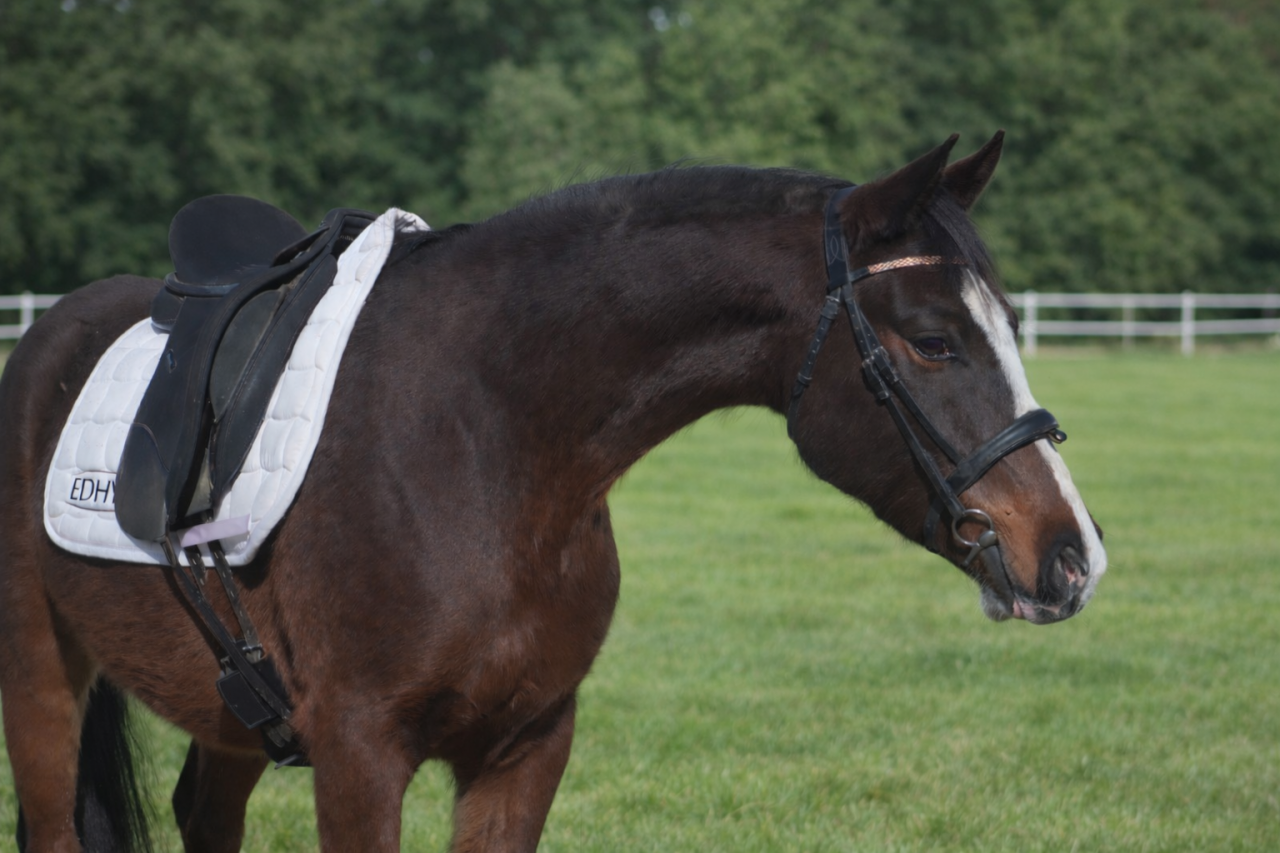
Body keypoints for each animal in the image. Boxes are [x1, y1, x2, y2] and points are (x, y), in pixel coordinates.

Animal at [0, 132, 1106, 852]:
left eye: (1011, 323)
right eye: (932, 340)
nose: (1071, 554)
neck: (488, 439)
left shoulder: (524, 748)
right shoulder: (360, 754)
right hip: (43, 681)